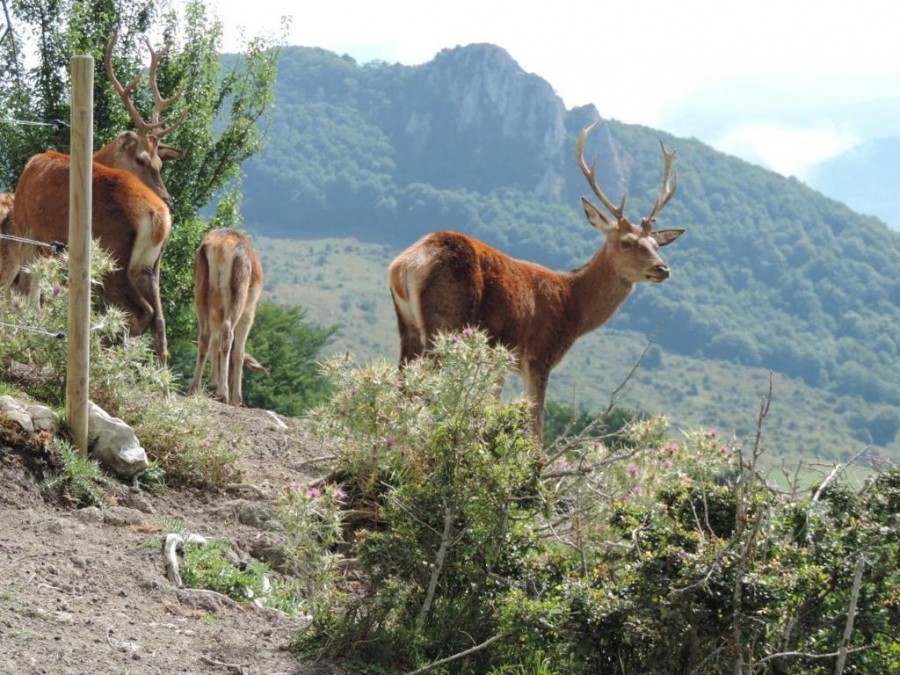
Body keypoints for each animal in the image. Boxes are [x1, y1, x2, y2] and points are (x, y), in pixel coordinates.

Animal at [1, 33, 187, 364]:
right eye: (143, 160)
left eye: (160, 163)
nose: (169, 198)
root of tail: (158, 218)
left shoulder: (32, 238)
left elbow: (30, 296)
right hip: (149, 267)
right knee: (160, 322)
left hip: (111, 255)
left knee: (139, 312)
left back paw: (107, 356)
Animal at [186, 227, 264, 406]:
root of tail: (219, 247)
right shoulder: (249, 311)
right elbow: (239, 352)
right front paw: (236, 398)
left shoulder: (216, 313)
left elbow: (215, 345)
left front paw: (212, 384)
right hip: (238, 294)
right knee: (228, 332)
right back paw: (224, 394)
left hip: (201, 289)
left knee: (205, 335)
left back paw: (194, 388)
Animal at [388, 121, 688, 438]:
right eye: (627, 242)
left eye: (656, 245)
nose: (662, 269)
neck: (573, 307)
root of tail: (406, 264)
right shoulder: (539, 356)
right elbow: (536, 427)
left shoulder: (503, 361)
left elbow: (492, 406)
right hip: (445, 321)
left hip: (408, 327)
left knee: (403, 386)